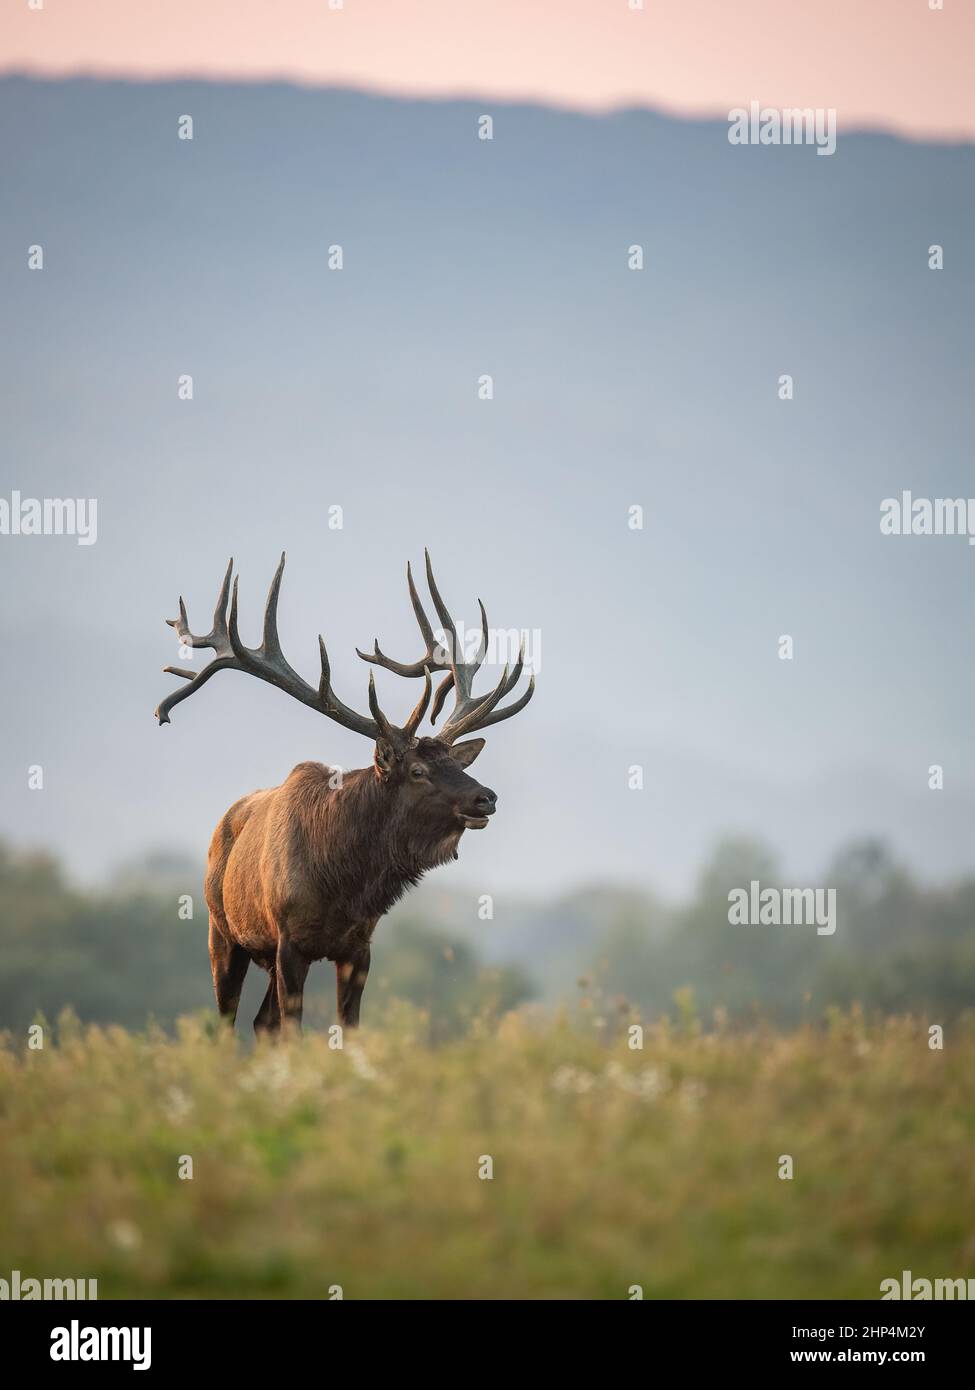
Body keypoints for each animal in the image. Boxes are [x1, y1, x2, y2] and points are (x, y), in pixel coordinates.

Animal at [154, 552, 534, 1036]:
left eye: (456, 763)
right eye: (418, 771)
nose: (486, 797)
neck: (344, 885)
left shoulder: (359, 946)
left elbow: (348, 1028)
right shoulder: (289, 941)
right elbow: (293, 1031)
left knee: (261, 1022)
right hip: (221, 932)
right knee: (226, 1022)